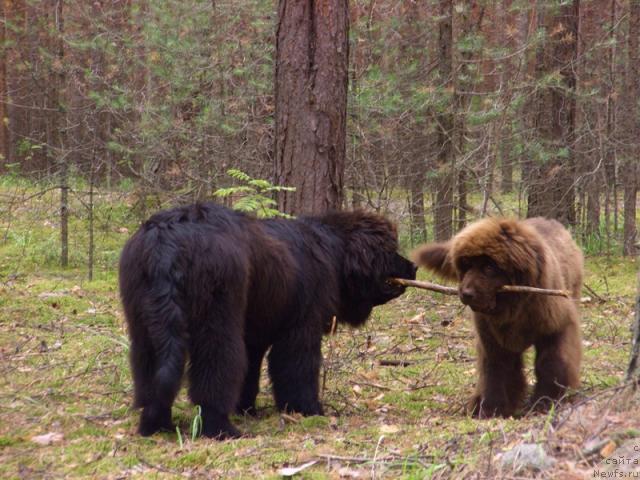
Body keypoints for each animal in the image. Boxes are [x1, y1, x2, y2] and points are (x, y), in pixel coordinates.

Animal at [120, 202, 418, 438]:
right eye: (389, 249)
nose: (414, 266)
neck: (334, 250)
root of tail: (165, 243)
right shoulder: (301, 330)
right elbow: (297, 371)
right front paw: (310, 411)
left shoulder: (255, 338)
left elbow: (250, 375)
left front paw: (247, 409)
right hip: (216, 322)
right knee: (215, 372)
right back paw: (221, 430)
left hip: (145, 325)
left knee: (150, 374)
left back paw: (157, 425)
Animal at [412, 218, 584, 416]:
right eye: (466, 266)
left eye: (488, 267)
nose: (466, 293)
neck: (514, 309)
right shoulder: (491, 338)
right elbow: (496, 369)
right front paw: (491, 408)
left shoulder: (555, 326)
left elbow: (550, 363)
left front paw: (544, 401)